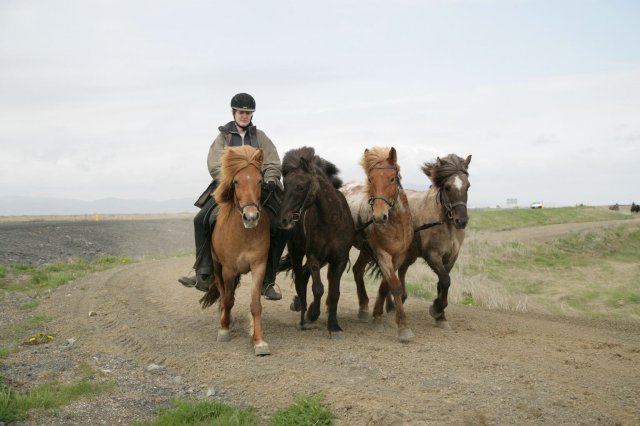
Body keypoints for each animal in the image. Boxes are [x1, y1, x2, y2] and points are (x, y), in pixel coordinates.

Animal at [199, 146, 272, 356]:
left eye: (259, 181)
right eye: (236, 181)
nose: (251, 217)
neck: (244, 234)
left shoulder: (259, 266)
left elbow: (255, 305)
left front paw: (259, 341)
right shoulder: (228, 270)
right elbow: (228, 300)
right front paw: (224, 330)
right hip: (217, 267)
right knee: (224, 295)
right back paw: (225, 320)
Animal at [278, 147, 352, 340]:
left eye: (300, 186)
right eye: (285, 185)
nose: (283, 220)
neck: (331, 220)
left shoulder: (339, 260)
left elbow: (334, 293)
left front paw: (334, 326)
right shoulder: (313, 256)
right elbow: (318, 288)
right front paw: (312, 313)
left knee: (304, 277)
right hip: (297, 253)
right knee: (300, 281)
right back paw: (303, 315)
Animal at [340, 147, 416, 342]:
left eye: (392, 178)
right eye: (370, 179)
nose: (379, 216)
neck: (396, 224)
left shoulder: (398, 256)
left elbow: (385, 285)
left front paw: (377, 316)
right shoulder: (382, 254)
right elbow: (394, 285)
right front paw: (403, 327)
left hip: (366, 250)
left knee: (357, 270)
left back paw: (363, 308)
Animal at [398, 153, 472, 330]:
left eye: (467, 186)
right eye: (447, 187)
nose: (461, 221)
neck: (445, 223)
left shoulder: (451, 257)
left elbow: (442, 282)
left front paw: (441, 315)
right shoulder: (432, 255)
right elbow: (445, 280)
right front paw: (436, 309)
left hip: (410, 255)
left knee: (401, 271)